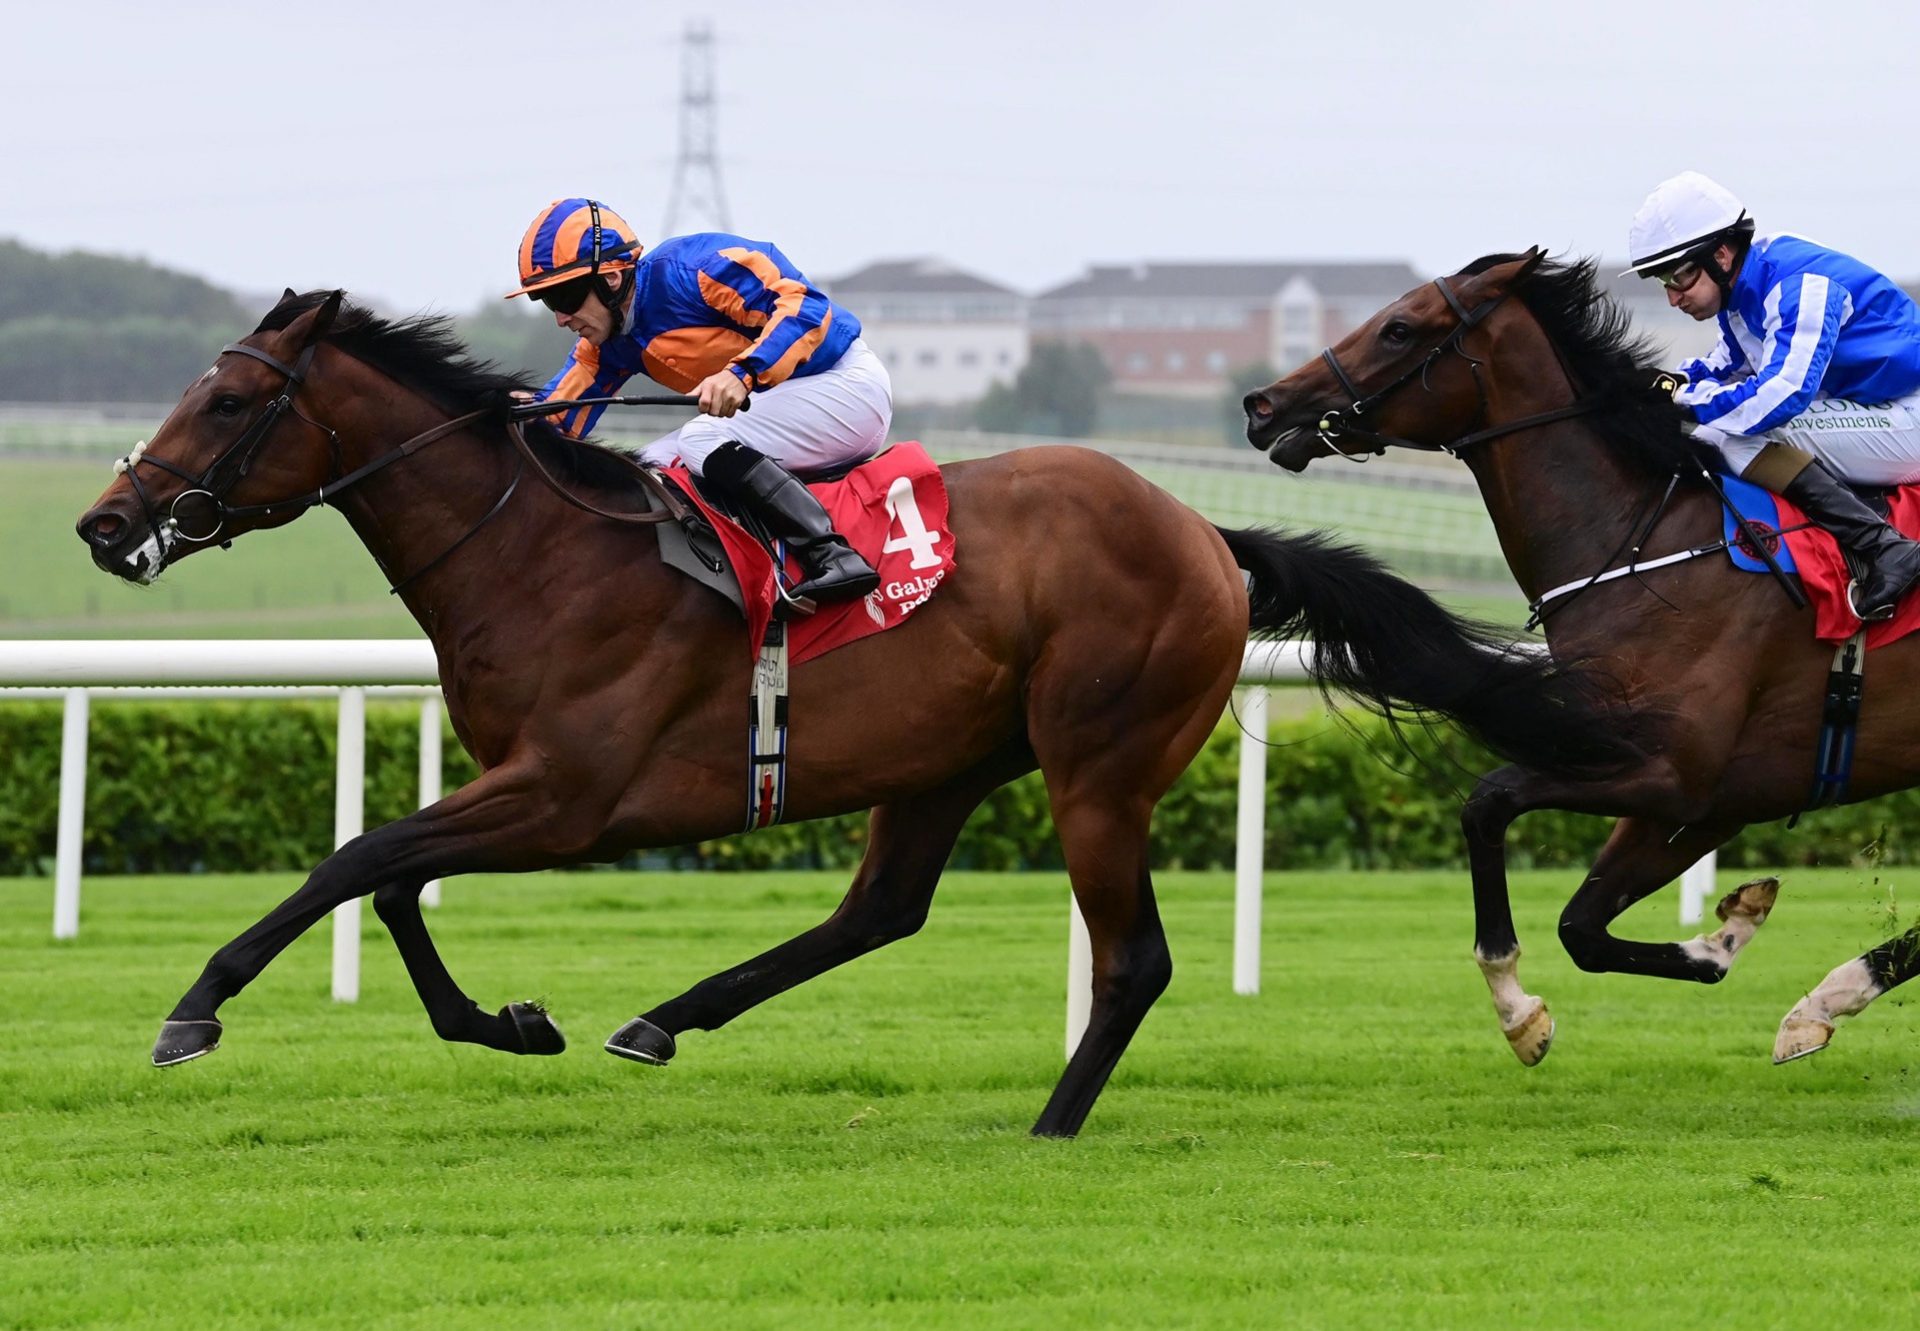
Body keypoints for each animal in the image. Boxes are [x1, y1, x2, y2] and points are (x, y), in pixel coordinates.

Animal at [78, 288, 1635, 1129]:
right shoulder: (526, 785)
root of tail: (1204, 529)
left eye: (227, 401)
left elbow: (353, 859)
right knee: (880, 908)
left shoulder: (569, 794)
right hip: (945, 755)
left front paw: (192, 1010)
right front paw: (511, 1020)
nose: (106, 523)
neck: (537, 551)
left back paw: (1051, 1121)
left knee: (1129, 960)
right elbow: (391, 878)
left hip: (1098, 760)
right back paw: (665, 1017)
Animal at [1251, 251, 1920, 1067]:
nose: (1264, 405)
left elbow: (1489, 800)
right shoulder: (1715, 794)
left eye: (1399, 328)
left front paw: (1516, 1007)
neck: (1645, 541)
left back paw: (1827, 998)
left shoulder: (1666, 770)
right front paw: (1725, 933)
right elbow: (1583, 928)